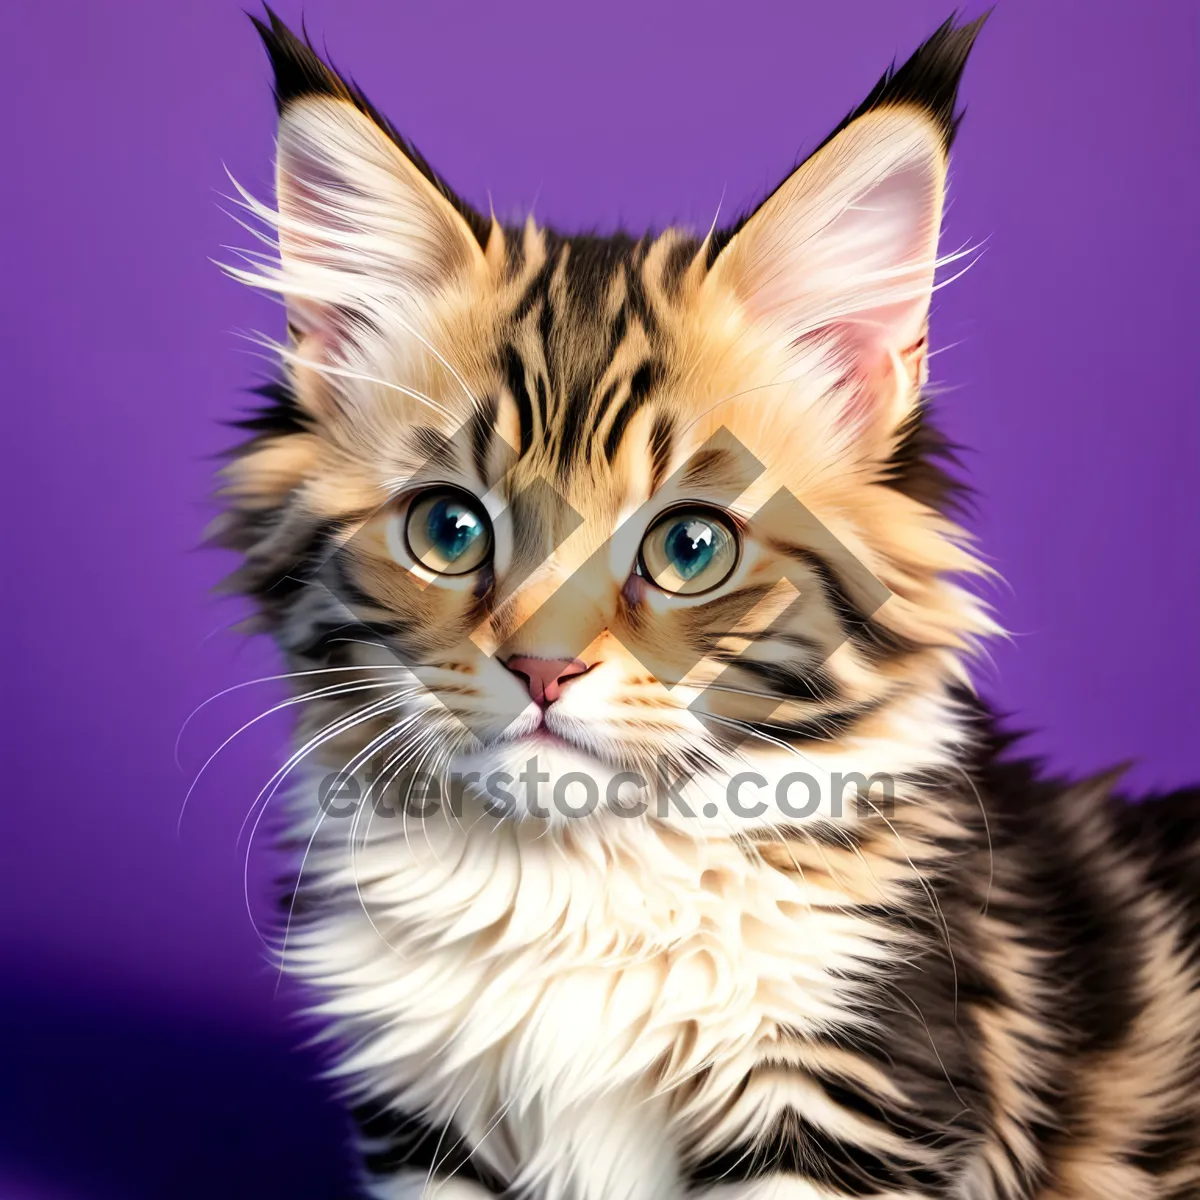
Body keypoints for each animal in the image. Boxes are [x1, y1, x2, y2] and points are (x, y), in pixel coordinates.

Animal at [218, 11, 1200, 1200]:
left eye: (690, 549)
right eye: (449, 533)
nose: (542, 668)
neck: (575, 892)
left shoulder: (849, 1094)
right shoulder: (429, 1135)